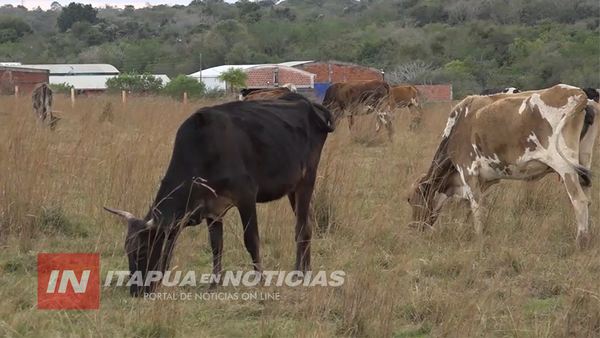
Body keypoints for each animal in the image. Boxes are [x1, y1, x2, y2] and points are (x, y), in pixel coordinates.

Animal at [103, 92, 338, 296]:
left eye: (142, 250)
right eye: (127, 251)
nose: (136, 291)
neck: (202, 149)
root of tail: (306, 102)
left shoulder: (246, 196)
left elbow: (251, 240)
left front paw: (260, 280)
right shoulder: (211, 209)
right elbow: (216, 246)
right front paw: (215, 284)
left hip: (307, 180)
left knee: (301, 227)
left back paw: (300, 273)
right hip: (292, 188)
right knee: (306, 225)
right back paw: (304, 270)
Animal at [406, 84, 596, 248]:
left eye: (410, 199)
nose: (413, 228)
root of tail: (578, 92)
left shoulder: (468, 171)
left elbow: (476, 208)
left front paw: (479, 238)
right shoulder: (483, 181)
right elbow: (469, 209)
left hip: (565, 167)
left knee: (579, 201)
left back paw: (581, 242)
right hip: (583, 163)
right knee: (587, 199)